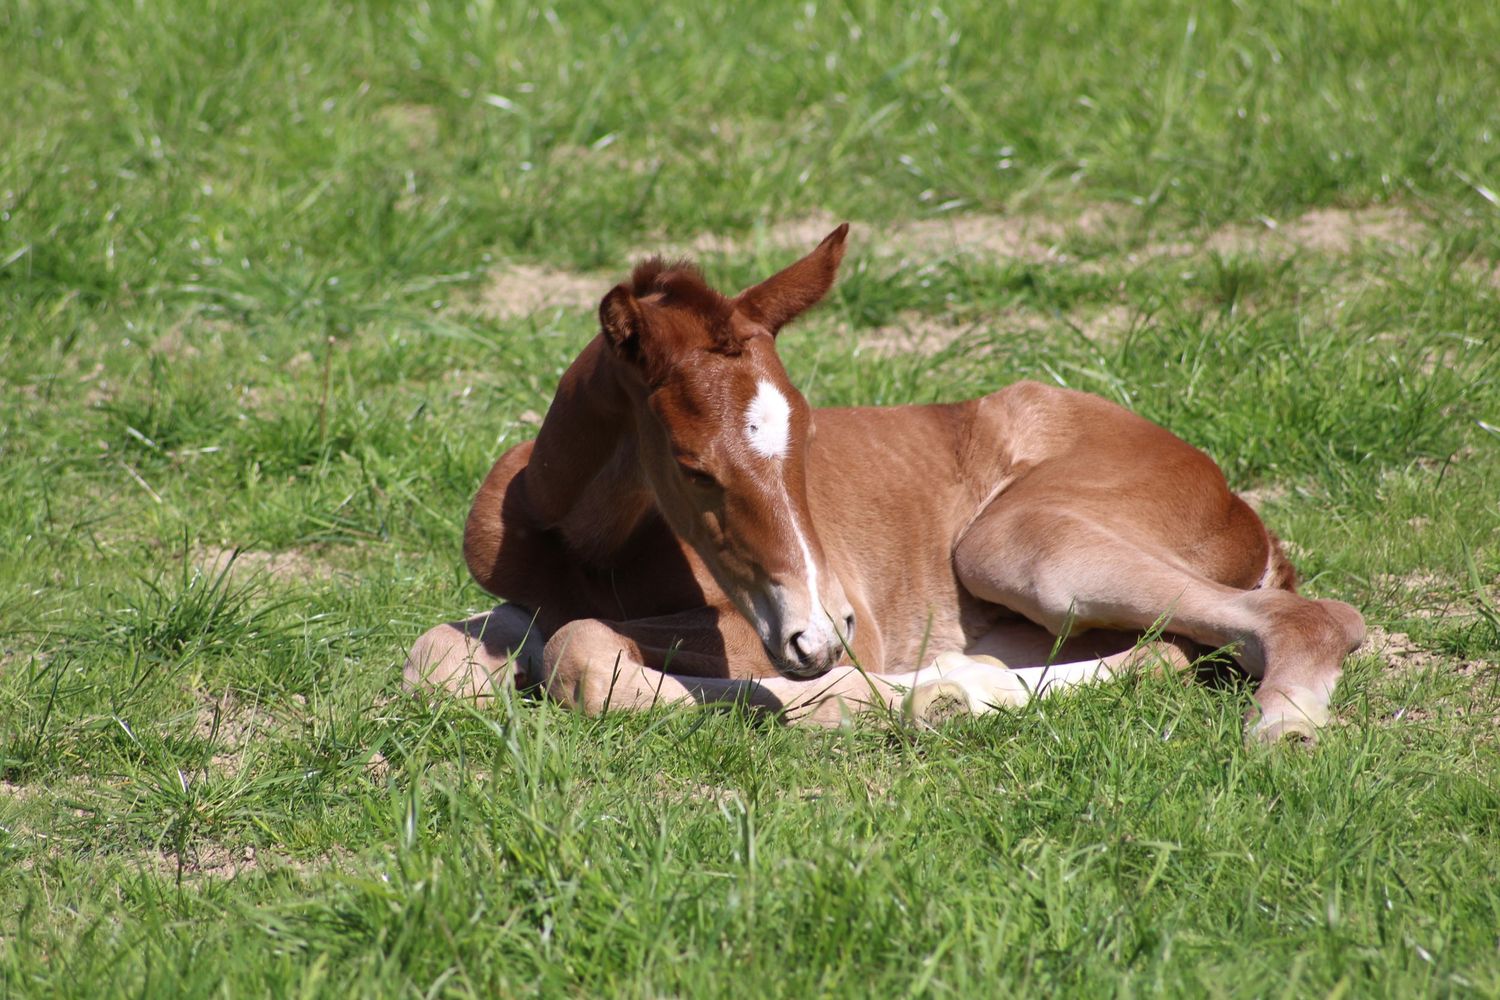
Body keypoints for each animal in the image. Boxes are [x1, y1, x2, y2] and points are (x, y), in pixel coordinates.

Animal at [405, 224, 1366, 743]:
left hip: (1017, 544)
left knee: (1298, 620)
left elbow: (583, 653)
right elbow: (443, 658)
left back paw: (1280, 728)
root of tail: (1236, 500)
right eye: (692, 466)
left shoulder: (800, 629)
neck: (582, 548)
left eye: (808, 436)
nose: (818, 634)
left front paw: (901, 698)